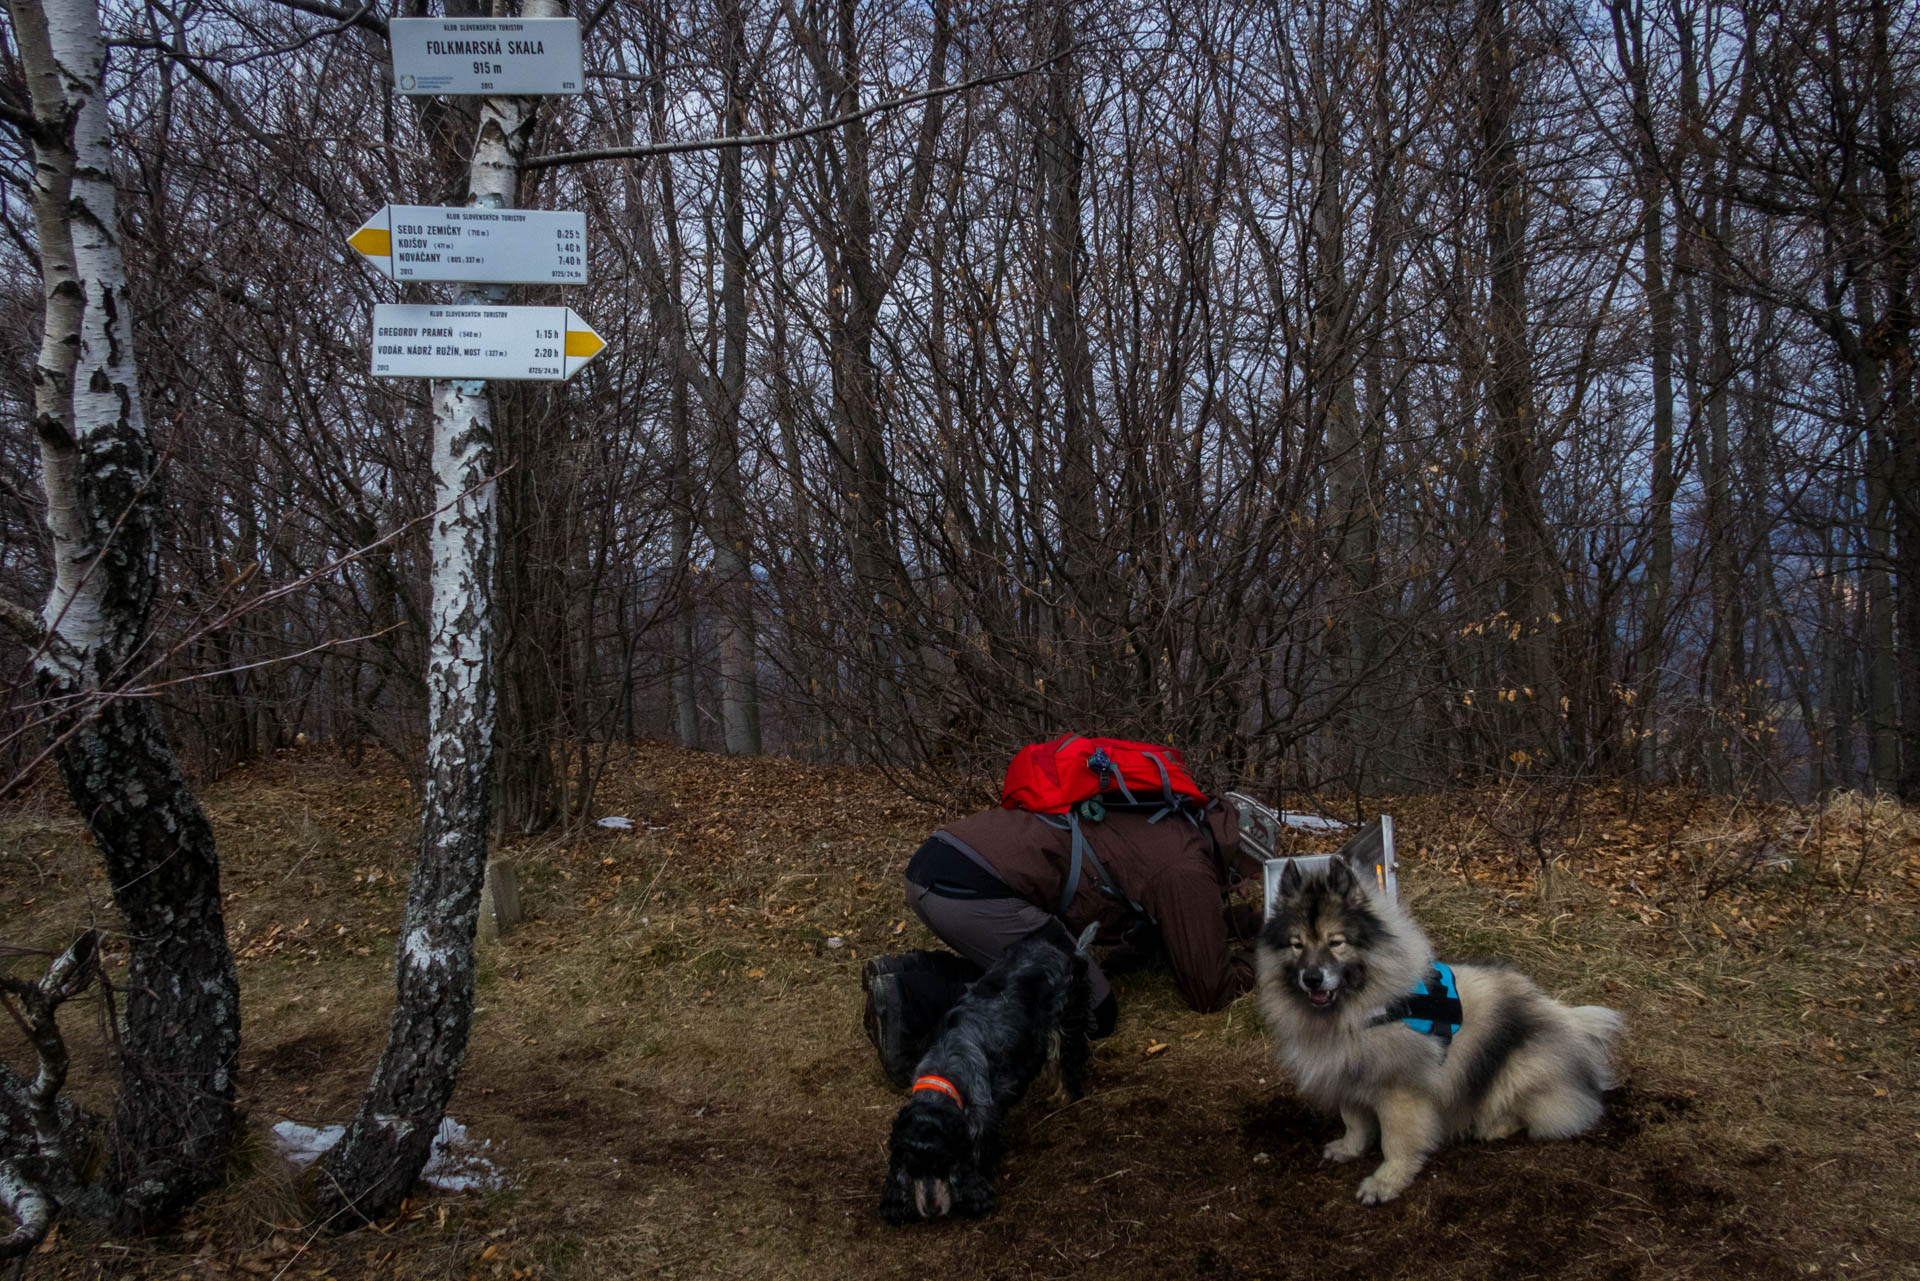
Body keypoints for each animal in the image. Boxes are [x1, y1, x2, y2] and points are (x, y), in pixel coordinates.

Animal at [879, 921, 1098, 1221]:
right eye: (913, 1170)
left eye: (941, 1164)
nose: (931, 1210)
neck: (944, 1070)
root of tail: (1066, 953)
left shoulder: (982, 1118)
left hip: (1063, 1020)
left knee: (1067, 1059)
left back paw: (1064, 1096)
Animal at [1259, 852, 1620, 1206]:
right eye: (1296, 945)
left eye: (1336, 942)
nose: (1312, 978)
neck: (1361, 1007)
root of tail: (1571, 1027)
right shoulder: (1346, 1073)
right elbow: (1354, 1122)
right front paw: (1350, 1149)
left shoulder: (1399, 1090)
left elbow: (1395, 1141)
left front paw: (1386, 1182)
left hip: (1520, 1070)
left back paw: (1492, 1126)